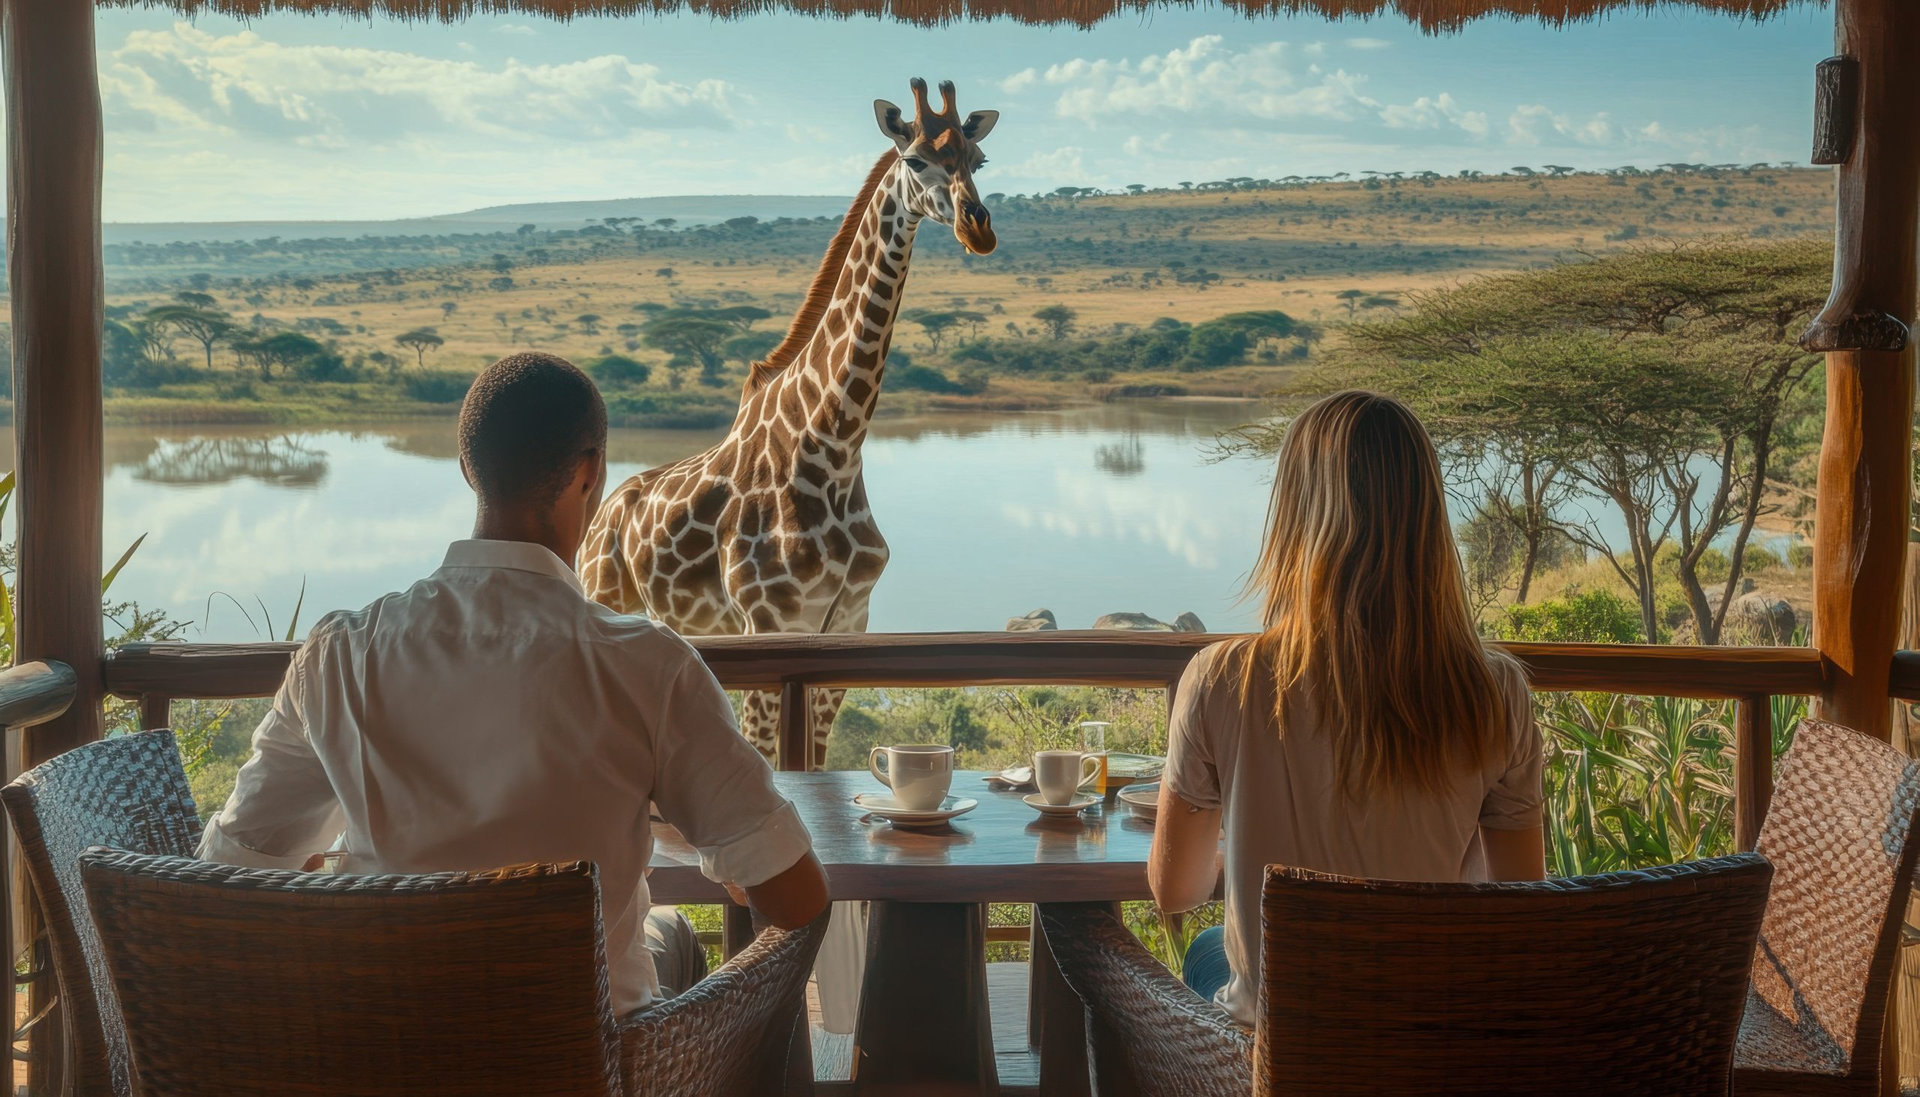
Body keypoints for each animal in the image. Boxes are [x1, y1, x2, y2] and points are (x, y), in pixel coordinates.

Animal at [578, 78, 999, 769]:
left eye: (978, 160)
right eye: (915, 161)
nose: (977, 229)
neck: (832, 444)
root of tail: (601, 520)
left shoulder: (847, 621)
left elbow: (812, 759)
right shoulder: (768, 623)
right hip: (609, 600)